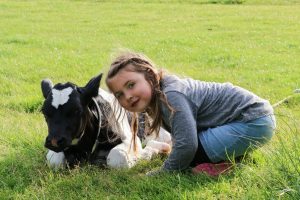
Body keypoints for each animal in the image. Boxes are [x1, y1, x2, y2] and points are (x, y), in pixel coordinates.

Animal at [40, 72, 171, 168]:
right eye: (44, 111)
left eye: (77, 110)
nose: (54, 141)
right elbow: (54, 161)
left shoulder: (131, 140)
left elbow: (117, 157)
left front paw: (148, 153)